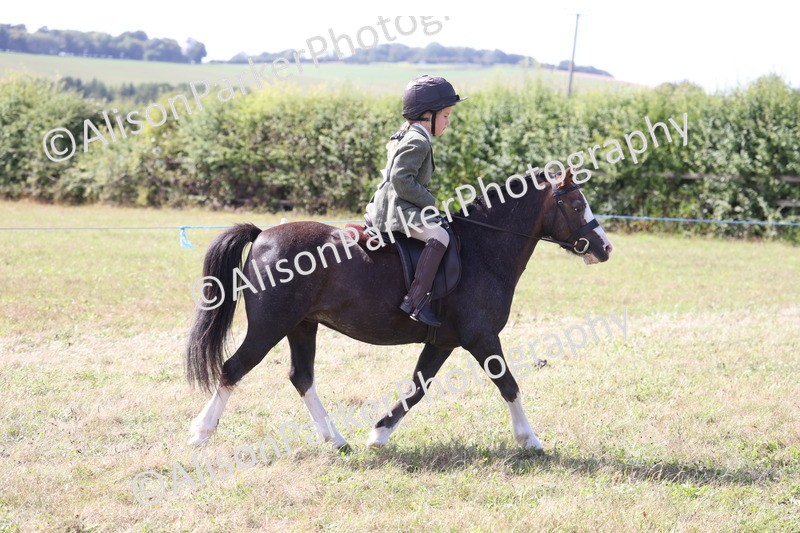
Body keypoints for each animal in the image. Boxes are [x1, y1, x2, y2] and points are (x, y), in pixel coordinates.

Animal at [185, 168, 613, 451]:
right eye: (577, 204)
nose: (605, 247)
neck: (484, 248)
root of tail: (263, 236)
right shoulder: (481, 337)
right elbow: (507, 383)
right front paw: (530, 439)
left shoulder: (443, 342)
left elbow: (416, 388)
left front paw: (378, 434)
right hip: (270, 327)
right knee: (233, 368)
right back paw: (201, 433)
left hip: (302, 326)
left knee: (301, 377)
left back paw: (336, 440)